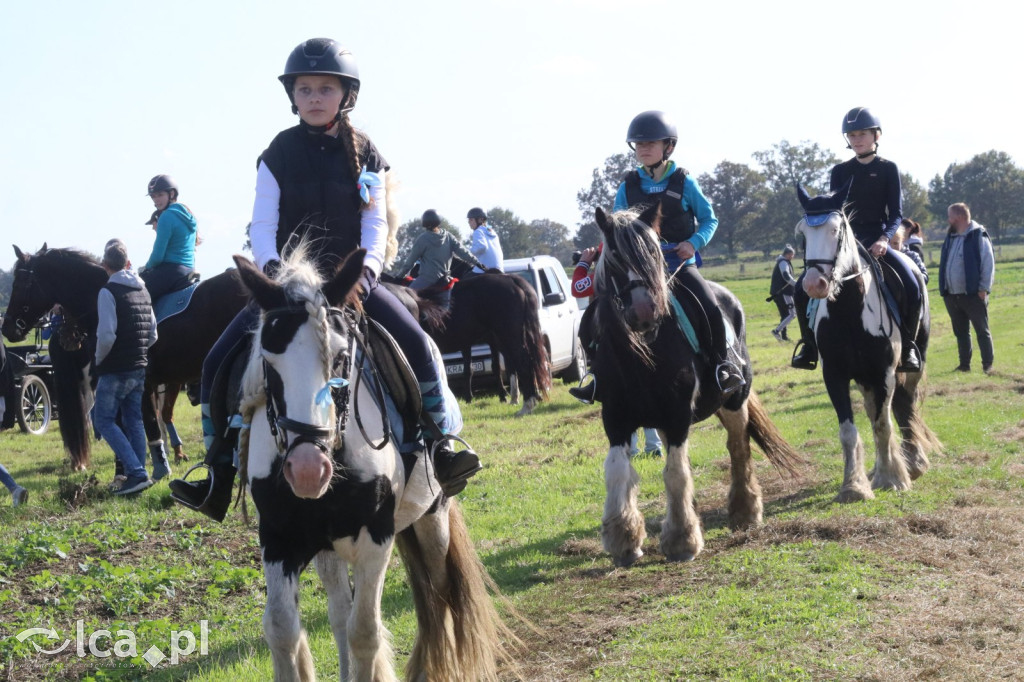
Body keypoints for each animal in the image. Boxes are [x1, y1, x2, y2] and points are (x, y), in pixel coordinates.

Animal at [234, 245, 516, 679]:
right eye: (268, 360)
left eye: (340, 358)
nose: (307, 470)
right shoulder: (279, 539)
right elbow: (282, 629)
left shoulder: (376, 536)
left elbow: (365, 632)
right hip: (329, 548)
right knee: (339, 612)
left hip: (432, 518)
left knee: (438, 592)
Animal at [585, 204, 798, 565]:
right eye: (613, 258)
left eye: (654, 253)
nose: (645, 311)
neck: (642, 354)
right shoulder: (615, 417)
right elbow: (617, 471)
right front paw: (623, 539)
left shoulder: (677, 414)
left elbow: (675, 473)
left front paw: (682, 540)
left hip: (734, 401)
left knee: (738, 448)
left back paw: (745, 511)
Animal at [790, 184, 942, 499]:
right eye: (803, 233)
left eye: (837, 230)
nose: (813, 285)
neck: (849, 311)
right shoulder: (835, 375)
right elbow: (850, 431)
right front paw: (854, 486)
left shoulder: (884, 373)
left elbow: (883, 424)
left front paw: (890, 479)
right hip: (864, 377)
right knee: (877, 411)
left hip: (912, 364)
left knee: (905, 405)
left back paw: (913, 462)